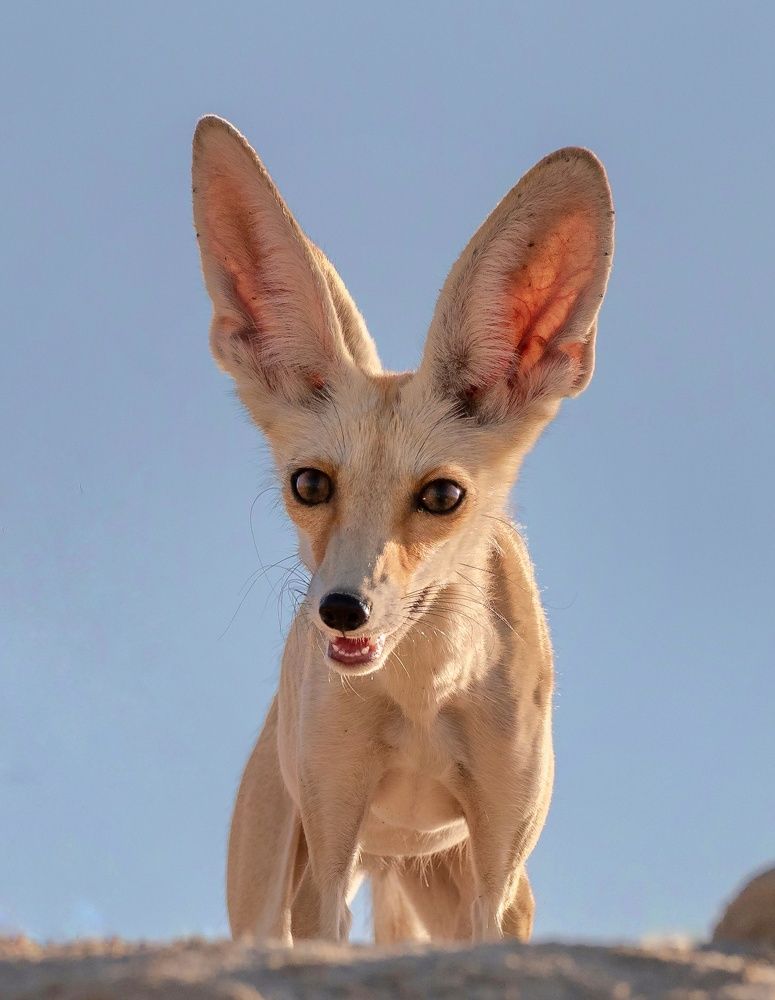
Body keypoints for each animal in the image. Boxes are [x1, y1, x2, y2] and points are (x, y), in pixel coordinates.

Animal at [192, 115, 614, 945]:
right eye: (310, 485)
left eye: (442, 496)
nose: (341, 610)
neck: (423, 698)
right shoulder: (329, 849)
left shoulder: (495, 866)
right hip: (279, 886)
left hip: (462, 889)